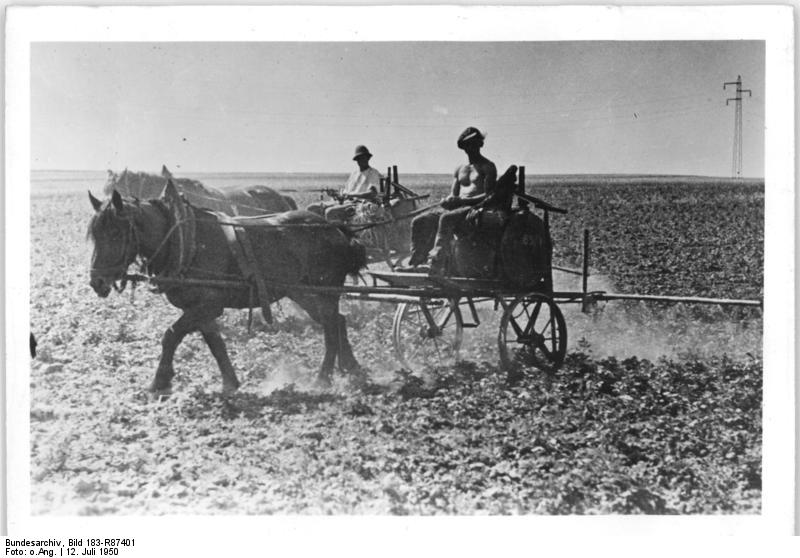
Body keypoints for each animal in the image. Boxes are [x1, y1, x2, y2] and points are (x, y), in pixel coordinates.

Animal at [88, 183, 366, 394]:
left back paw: (323, 379)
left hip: (324, 291)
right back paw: (351, 366)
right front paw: (230, 382)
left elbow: (171, 335)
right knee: (338, 321)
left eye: (115, 233)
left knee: (331, 327)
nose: (97, 282)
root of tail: (336, 229)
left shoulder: (208, 305)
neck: (184, 241)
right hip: (302, 293)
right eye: (94, 234)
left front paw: (160, 381)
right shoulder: (201, 310)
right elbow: (216, 344)